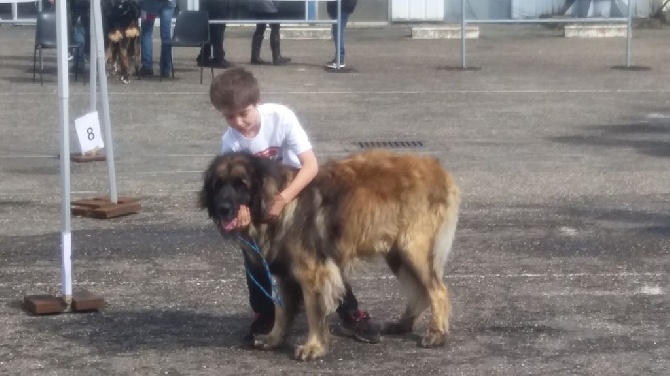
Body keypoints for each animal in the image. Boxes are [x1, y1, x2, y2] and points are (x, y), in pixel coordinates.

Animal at [200, 148, 462, 360]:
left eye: (241, 184)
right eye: (217, 185)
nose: (223, 209)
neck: (280, 202)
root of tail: (438, 169)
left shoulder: (312, 272)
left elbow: (314, 312)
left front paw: (313, 347)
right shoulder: (284, 274)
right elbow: (282, 311)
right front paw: (273, 339)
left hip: (413, 248)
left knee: (438, 290)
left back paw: (437, 334)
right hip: (396, 253)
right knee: (421, 290)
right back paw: (403, 324)